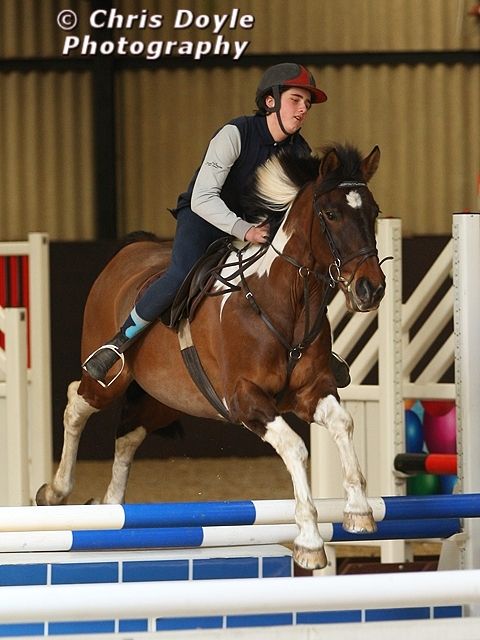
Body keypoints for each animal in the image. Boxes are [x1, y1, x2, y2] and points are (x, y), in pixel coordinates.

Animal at [37, 143, 387, 570]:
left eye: (374, 212)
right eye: (332, 215)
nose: (371, 288)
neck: (285, 299)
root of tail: (131, 250)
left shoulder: (312, 390)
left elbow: (342, 423)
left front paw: (359, 510)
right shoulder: (245, 399)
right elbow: (295, 447)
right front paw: (309, 540)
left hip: (163, 397)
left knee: (128, 435)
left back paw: (112, 508)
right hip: (110, 381)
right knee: (77, 401)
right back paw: (55, 492)